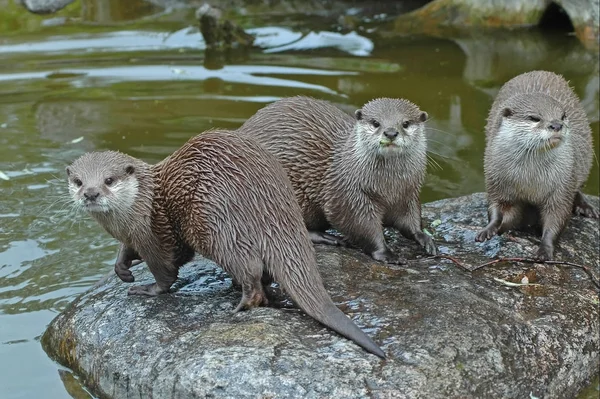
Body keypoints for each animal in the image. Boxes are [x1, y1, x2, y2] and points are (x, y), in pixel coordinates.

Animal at [65, 130, 384, 360]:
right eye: (79, 181)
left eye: (108, 180)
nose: (91, 193)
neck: (138, 208)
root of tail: (273, 207)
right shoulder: (132, 235)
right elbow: (127, 250)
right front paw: (122, 268)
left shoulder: (153, 234)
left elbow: (166, 271)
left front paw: (147, 288)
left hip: (215, 223)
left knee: (249, 267)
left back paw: (242, 303)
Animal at [237, 96, 438, 266]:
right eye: (375, 123)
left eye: (405, 123)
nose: (390, 132)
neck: (389, 188)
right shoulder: (349, 194)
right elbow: (361, 225)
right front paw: (386, 253)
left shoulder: (409, 194)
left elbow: (410, 221)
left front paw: (424, 238)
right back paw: (327, 237)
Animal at [476, 70, 596, 260]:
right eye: (534, 118)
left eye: (563, 116)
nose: (556, 124)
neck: (530, 181)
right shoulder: (496, 179)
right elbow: (498, 208)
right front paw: (490, 229)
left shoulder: (562, 186)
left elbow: (557, 217)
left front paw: (545, 248)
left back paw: (586, 207)